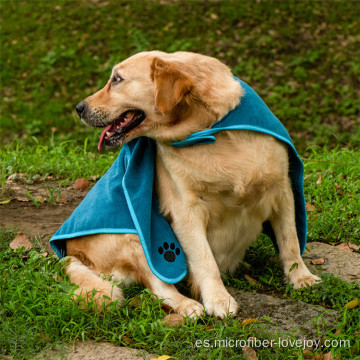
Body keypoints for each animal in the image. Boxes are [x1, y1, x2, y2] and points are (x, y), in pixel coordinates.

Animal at [66, 51, 320, 318]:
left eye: (116, 79)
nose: (79, 108)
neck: (211, 131)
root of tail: (73, 253)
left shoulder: (283, 189)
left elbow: (290, 242)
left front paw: (301, 277)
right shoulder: (185, 211)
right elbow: (205, 260)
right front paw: (218, 299)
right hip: (132, 235)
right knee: (159, 286)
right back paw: (187, 305)